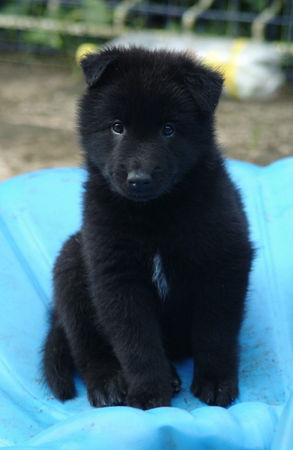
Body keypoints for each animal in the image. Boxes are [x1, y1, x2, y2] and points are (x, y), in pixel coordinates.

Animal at [42, 47, 253, 410]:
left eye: (168, 129)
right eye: (117, 127)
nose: (138, 179)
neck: (154, 214)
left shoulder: (225, 263)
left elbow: (216, 332)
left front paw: (215, 382)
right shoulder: (116, 275)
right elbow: (137, 343)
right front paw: (149, 394)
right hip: (71, 267)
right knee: (85, 344)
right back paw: (109, 383)